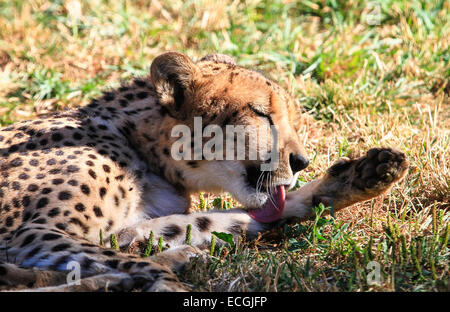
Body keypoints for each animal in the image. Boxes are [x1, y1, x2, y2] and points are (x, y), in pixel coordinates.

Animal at [0, 51, 408, 290]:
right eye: (261, 113)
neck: (137, 144)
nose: (301, 161)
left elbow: (217, 220)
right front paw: (164, 282)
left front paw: (355, 178)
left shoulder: (123, 230)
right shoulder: (30, 233)